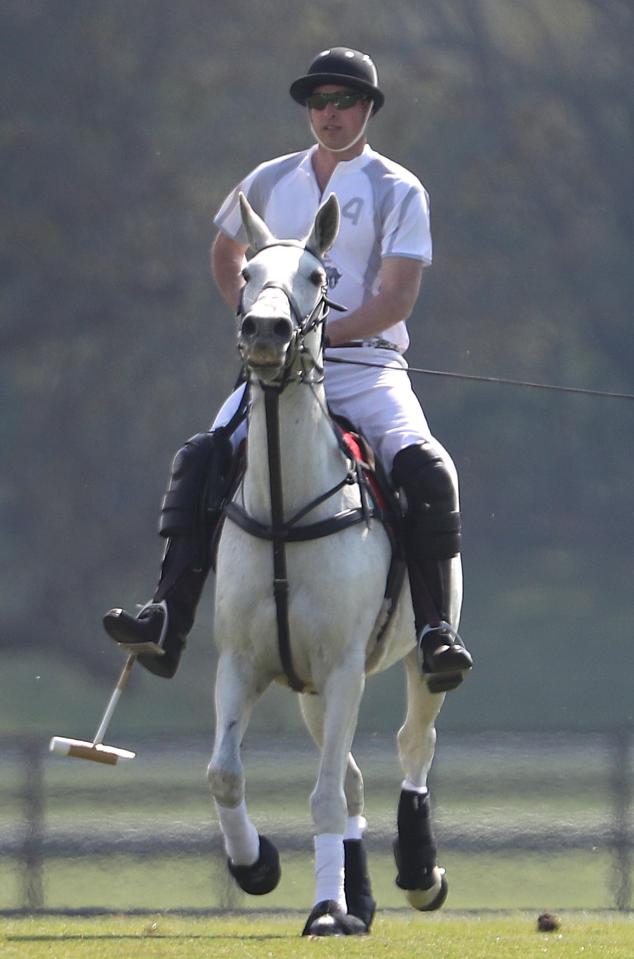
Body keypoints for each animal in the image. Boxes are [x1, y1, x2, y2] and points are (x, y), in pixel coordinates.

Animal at [207, 193, 460, 936]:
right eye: (247, 272)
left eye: (318, 276)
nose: (265, 330)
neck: (287, 510)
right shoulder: (242, 662)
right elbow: (225, 773)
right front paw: (257, 865)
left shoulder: (345, 665)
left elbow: (321, 795)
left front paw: (324, 909)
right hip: (311, 691)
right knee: (350, 777)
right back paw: (360, 899)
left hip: (416, 660)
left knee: (413, 744)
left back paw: (418, 872)